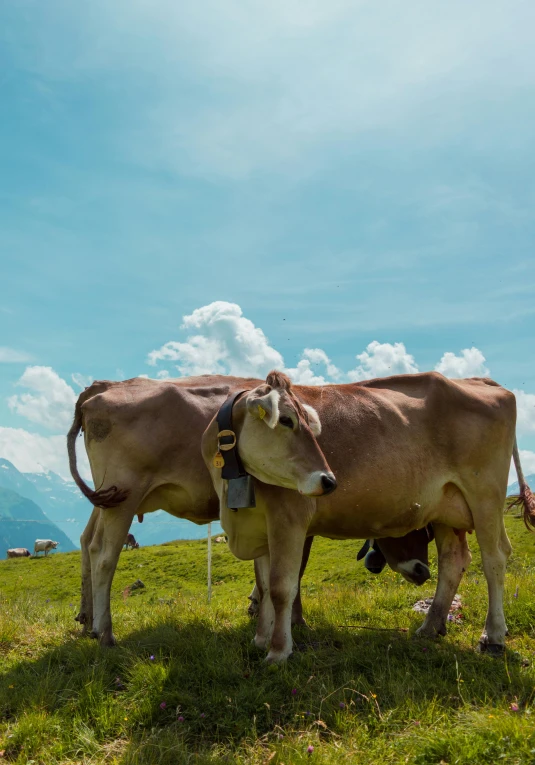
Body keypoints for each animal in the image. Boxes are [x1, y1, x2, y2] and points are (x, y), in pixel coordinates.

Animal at [203, 372, 532, 664]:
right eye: (286, 420)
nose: (329, 480)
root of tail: (479, 380)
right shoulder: (259, 524)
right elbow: (264, 585)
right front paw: (260, 639)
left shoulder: (289, 519)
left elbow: (281, 586)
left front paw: (279, 651)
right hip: (447, 509)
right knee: (454, 560)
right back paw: (429, 627)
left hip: (485, 495)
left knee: (495, 558)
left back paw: (493, 637)